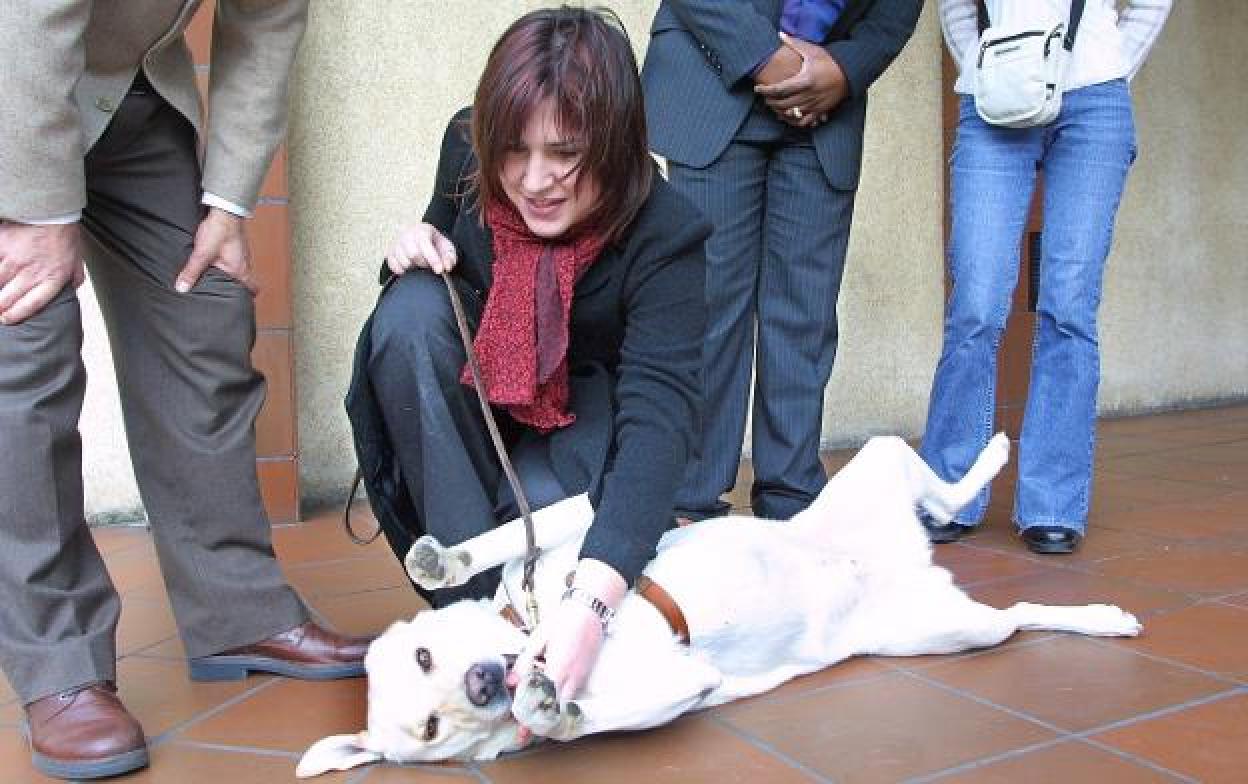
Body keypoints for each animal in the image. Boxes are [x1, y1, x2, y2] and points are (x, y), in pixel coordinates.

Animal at [294, 436, 1143, 774]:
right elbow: (577, 720)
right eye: (431, 728)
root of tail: (908, 565)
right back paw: (1096, 614)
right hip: (942, 630)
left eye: (424, 654)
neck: (532, 631)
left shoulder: (588, 513)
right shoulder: (683, 683)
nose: (480, 684)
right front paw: (545, 707)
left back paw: (994, 462)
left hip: (878, 471)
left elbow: (506, 541)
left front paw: (444, 558)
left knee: (945, 490)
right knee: (1021, 614)